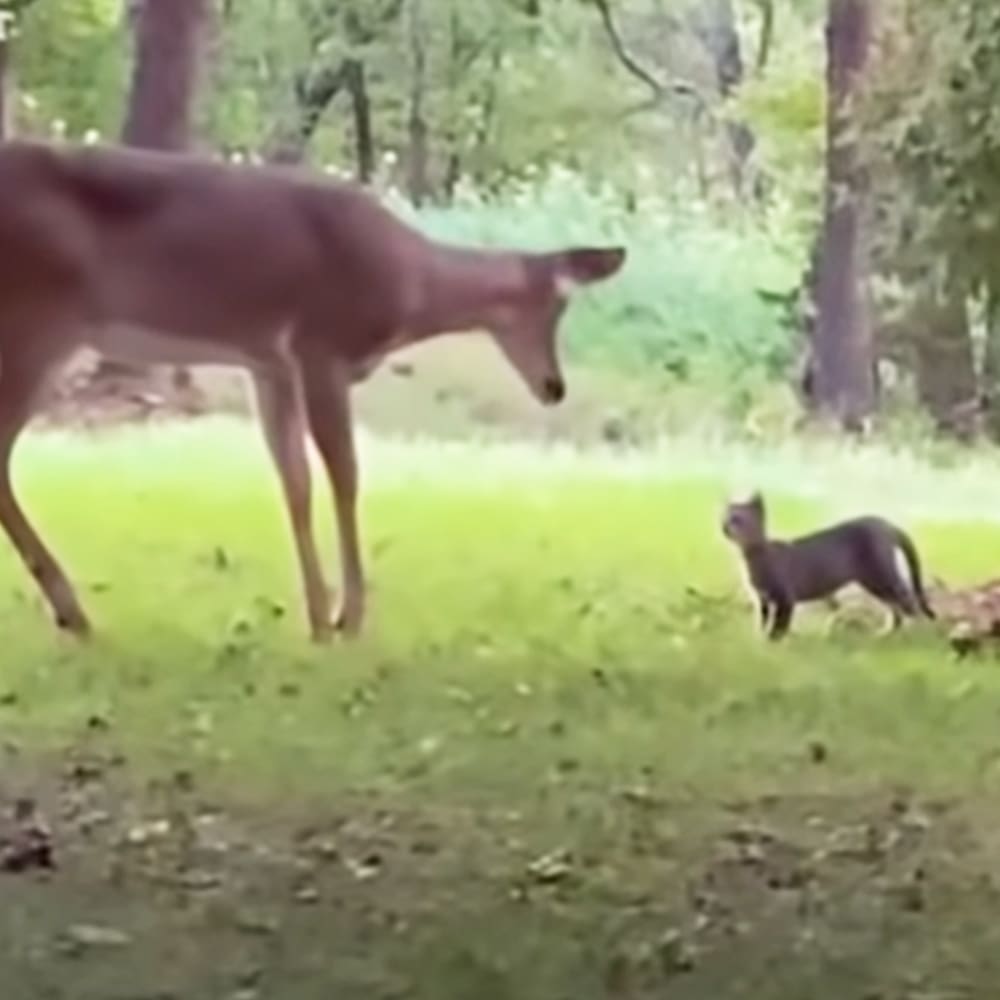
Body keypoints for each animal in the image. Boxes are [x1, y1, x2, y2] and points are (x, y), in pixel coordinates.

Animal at [0, 140, 626, 642]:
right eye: (555, 306)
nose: (554, 386)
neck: (410, 283)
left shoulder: (270, 365)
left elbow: (295, 482)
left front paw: (320, 620)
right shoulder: (322, 348)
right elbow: (345, 476)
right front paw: (351, 618)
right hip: (36, 321)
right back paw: (73, 612)